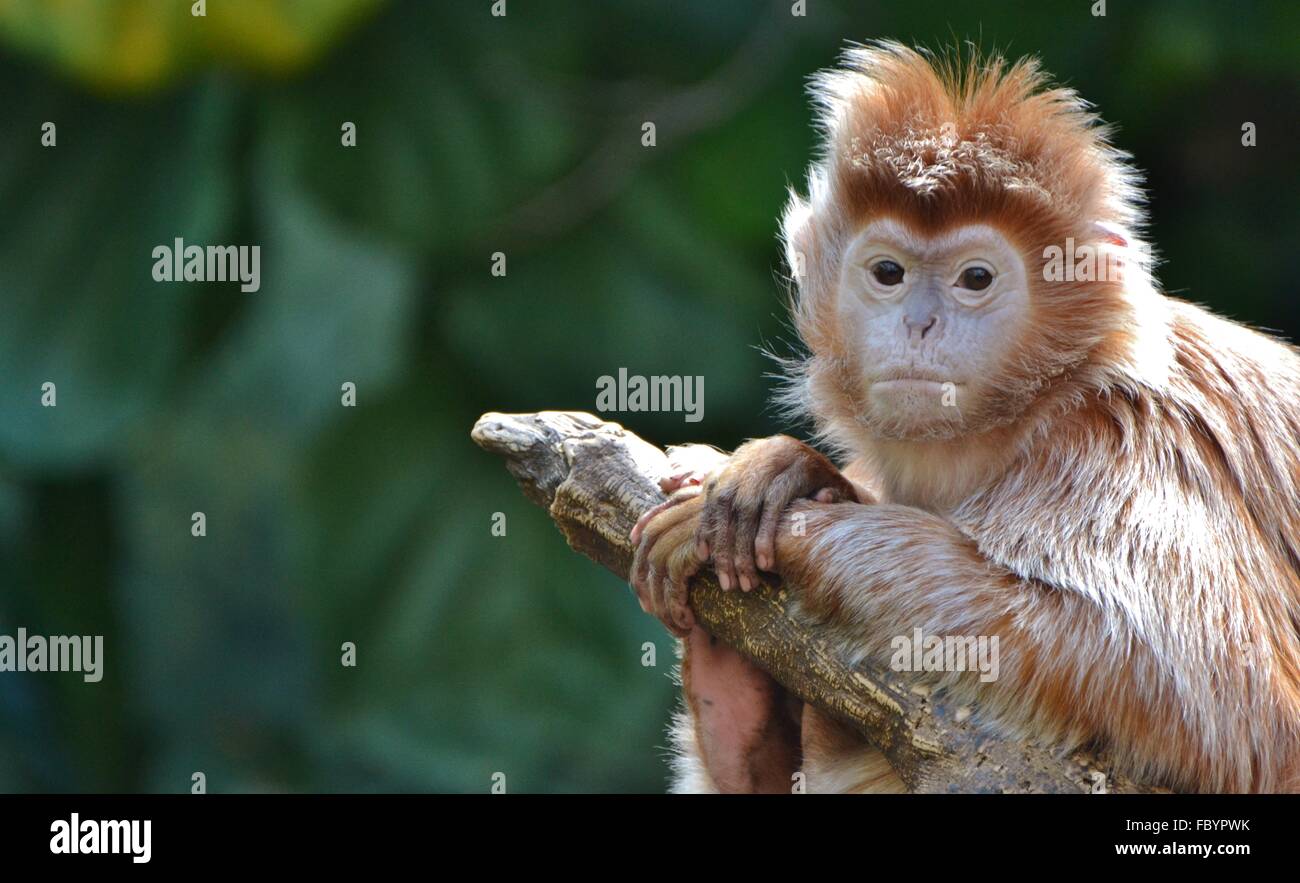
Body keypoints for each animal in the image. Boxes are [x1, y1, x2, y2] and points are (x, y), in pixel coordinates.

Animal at [629, 43, 1300, 795]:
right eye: (888, 273)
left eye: (975, 279)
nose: (919, 323)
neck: (1033, 411)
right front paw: (792, 471)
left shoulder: (1121, 443)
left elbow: (1225, 709)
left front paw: (807, 524)